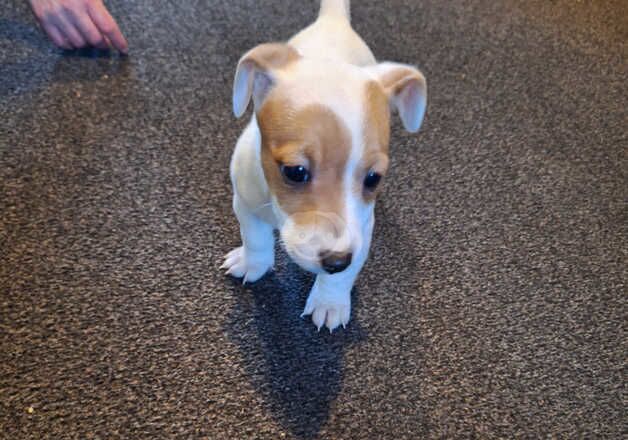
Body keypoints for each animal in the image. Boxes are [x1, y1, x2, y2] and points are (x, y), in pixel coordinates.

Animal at [222, 0, 426, 330]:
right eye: (295, 172)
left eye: (373, 178)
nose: (335, 261)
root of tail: (334, 20)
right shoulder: (245, 203)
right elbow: (254, 238)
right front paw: (253, 263)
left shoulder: (362, 230)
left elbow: (342, 277)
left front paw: (329, 302)